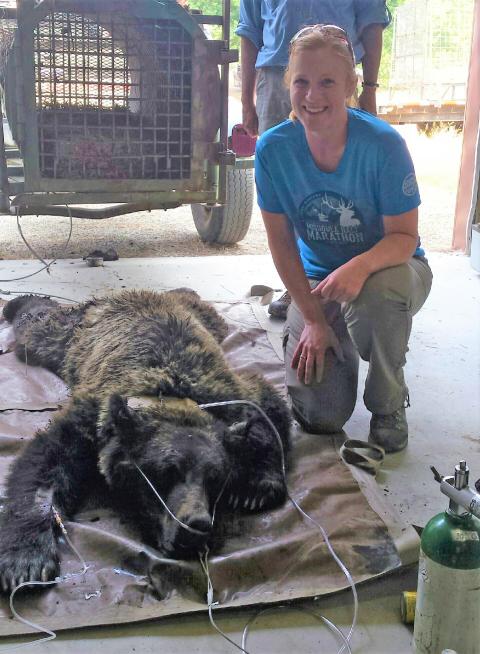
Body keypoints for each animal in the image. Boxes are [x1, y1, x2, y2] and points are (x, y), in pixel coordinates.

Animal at [0, 289, 291, 593]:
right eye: (165, 473)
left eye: (216, 479)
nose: (196, 526)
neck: (169, 393)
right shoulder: (93, 417)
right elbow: (46, 463)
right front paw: (25, 559)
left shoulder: (229, 396)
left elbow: (267, 409)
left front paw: (258, 486)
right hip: (67, 338)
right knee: (37, 329)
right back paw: (17, 303)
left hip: (208, 320)